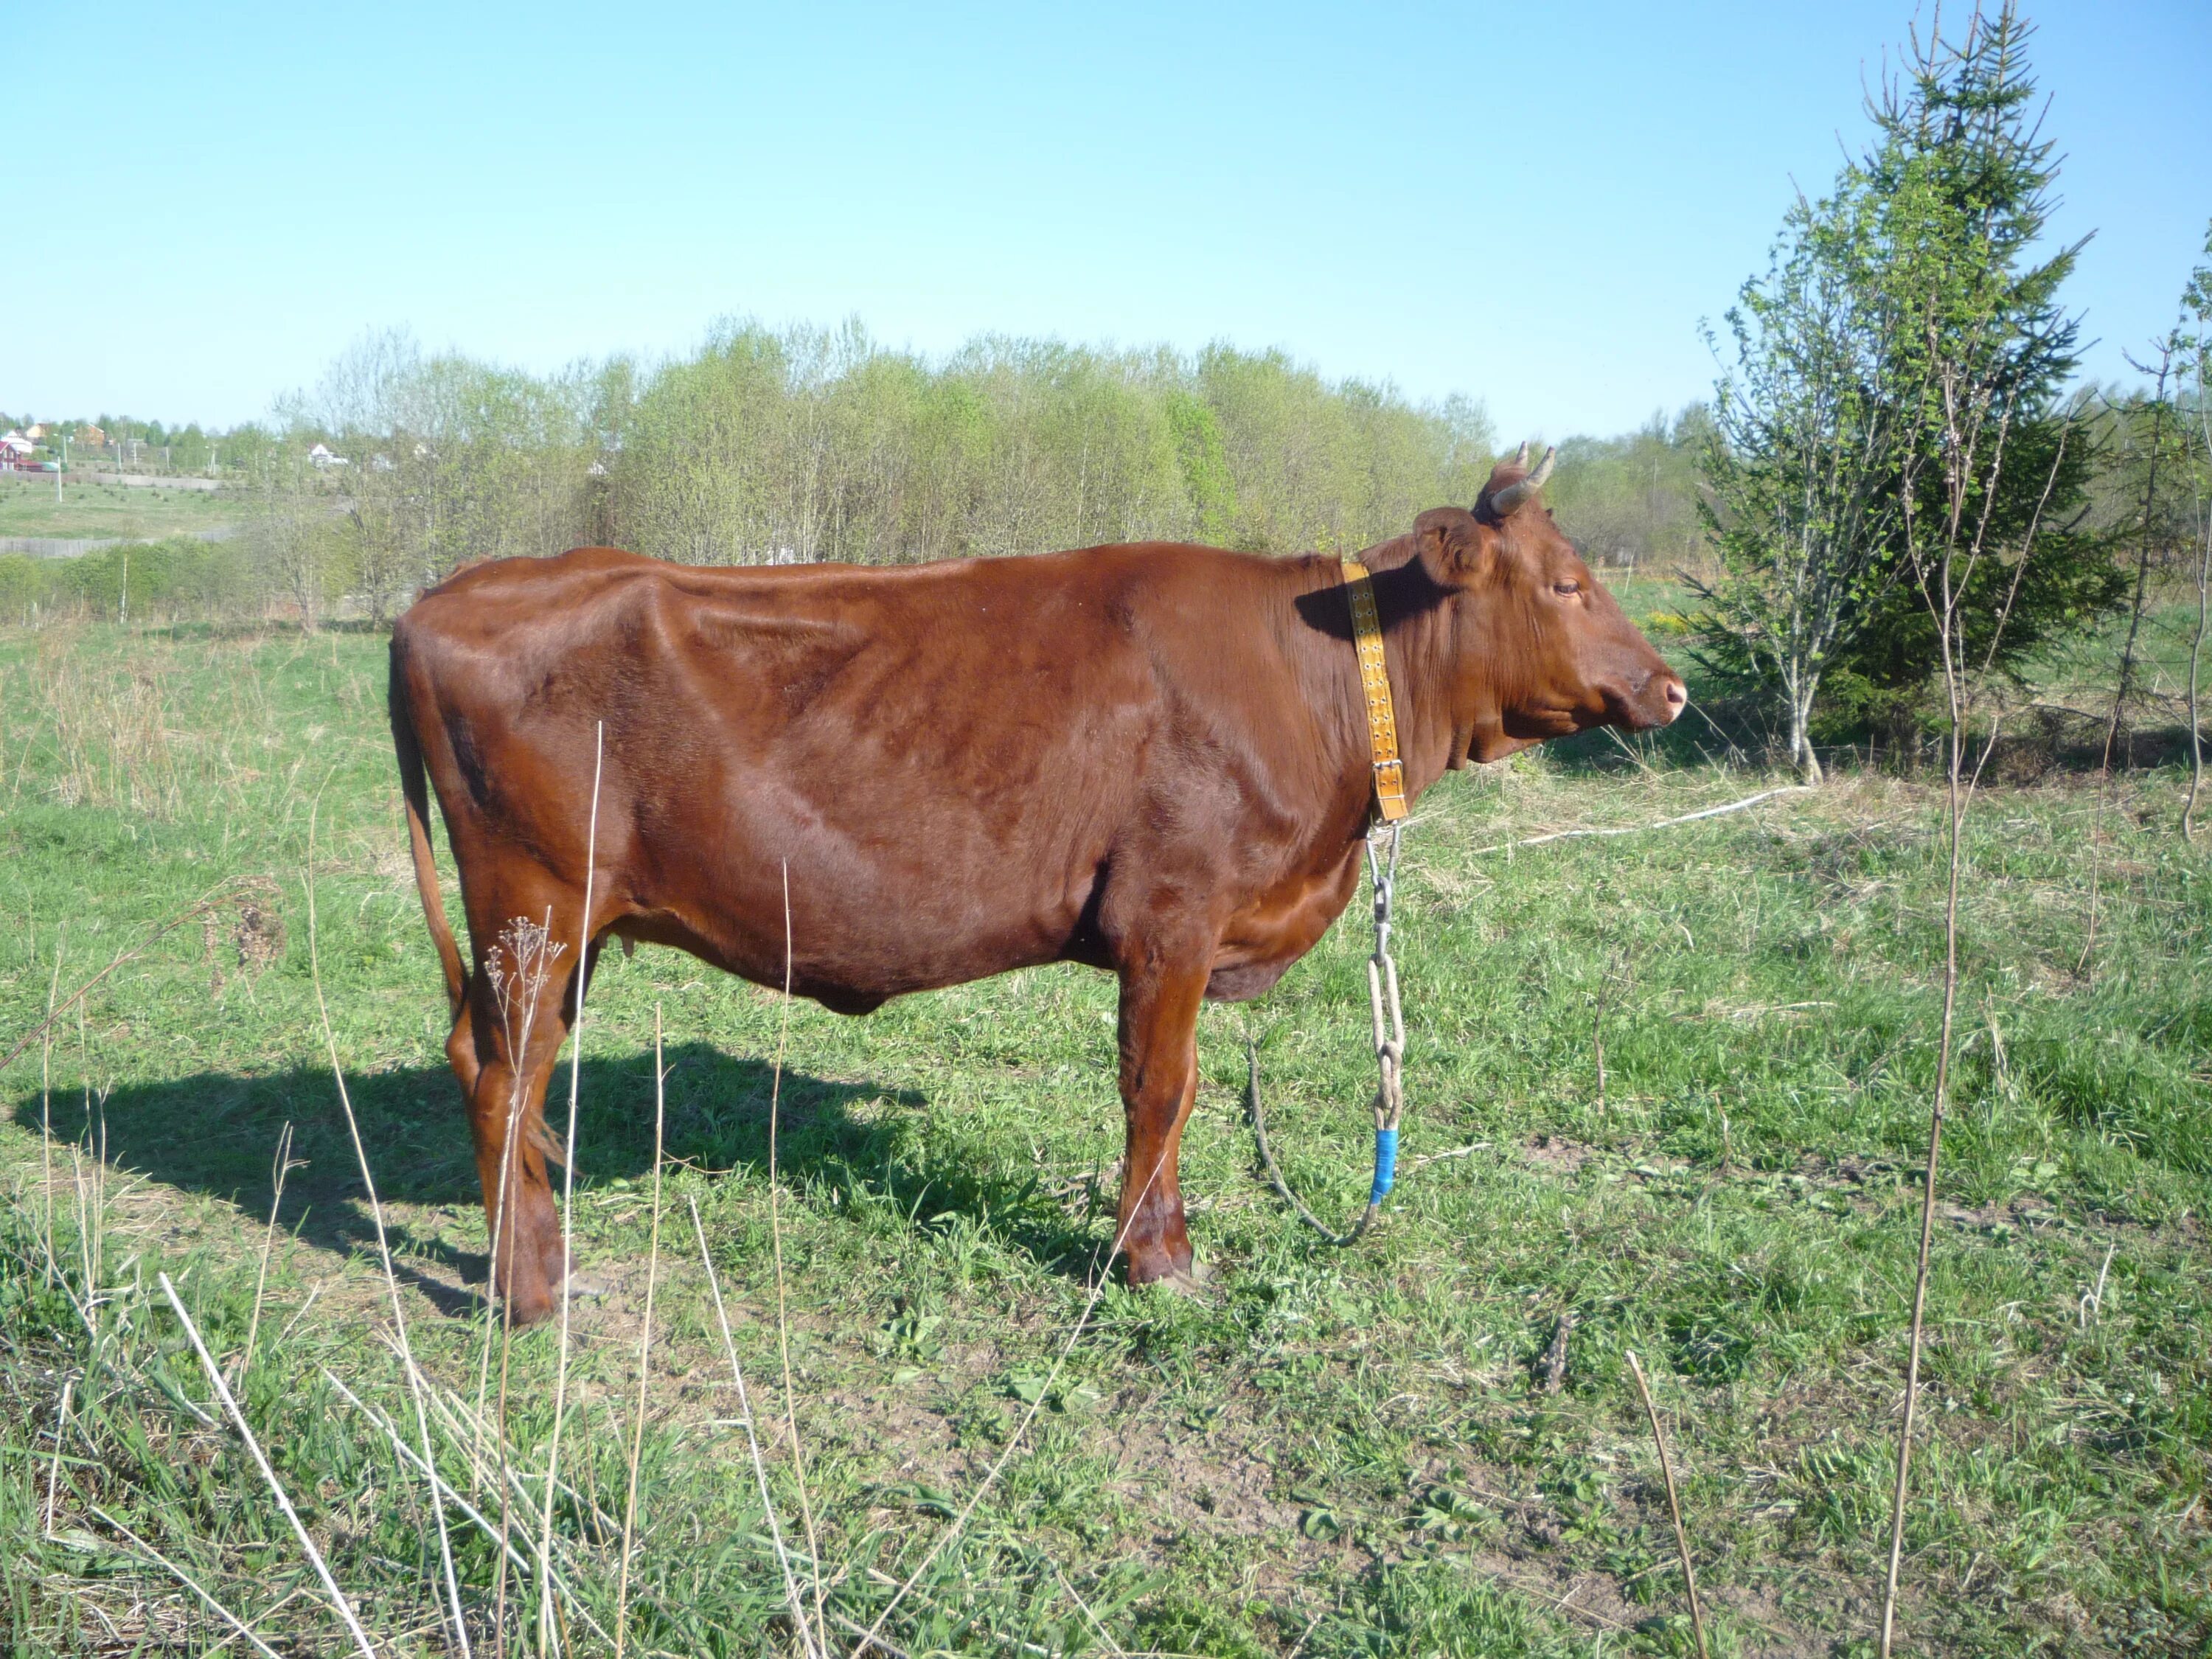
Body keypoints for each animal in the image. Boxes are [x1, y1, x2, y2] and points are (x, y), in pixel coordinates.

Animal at [394, 451, 1672, 1327]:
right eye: (1567, 583)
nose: (1668, 687)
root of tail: (439, 599)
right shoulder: (1172, 920)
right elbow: (1162, 1091)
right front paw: (1157, 1262)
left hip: (557, 922)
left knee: (491, 1061)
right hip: (535, 900)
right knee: (506, 1076)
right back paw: (531, 1295)